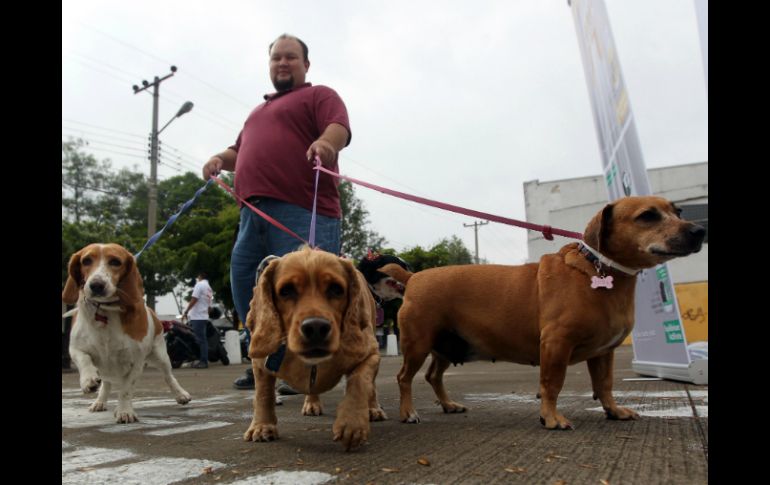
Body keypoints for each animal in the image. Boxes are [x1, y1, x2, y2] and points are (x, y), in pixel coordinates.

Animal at [61, 244, 190, 422]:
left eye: (115, 262)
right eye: (86, 260)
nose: (96, 285)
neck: (105, 311)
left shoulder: (136, 362)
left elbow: (126, 389)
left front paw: (124, 411)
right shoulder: (75, 349)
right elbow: (84, 360)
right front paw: (88, 379)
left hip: (160, 357)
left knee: (168, 376)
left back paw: (180, 394)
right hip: (106, 369)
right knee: (106, 384)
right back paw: (100, 401)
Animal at [243, 246, 388, 450]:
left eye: (336, 289)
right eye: (286, 291)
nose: (316, 328)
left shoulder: (372, 353)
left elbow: (360, 381)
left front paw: (352, 423)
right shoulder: (261, 363)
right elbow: (263, 394)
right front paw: (262, 426)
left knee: (371, 386)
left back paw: (373, 408)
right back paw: (312, 403)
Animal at [378, 195, 704, 430]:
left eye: (678, 211)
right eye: (648, 215)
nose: (700, 230)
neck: (600, 271)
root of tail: (414, 277)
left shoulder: (604, 353)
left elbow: (605, 384)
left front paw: (612, 410)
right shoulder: (556, 344)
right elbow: (552, 383)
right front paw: (551, 417)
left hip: (445, 346)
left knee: (433, 376)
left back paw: (448, 405)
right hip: (417, 344)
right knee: (404, 377)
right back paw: (408, 412)